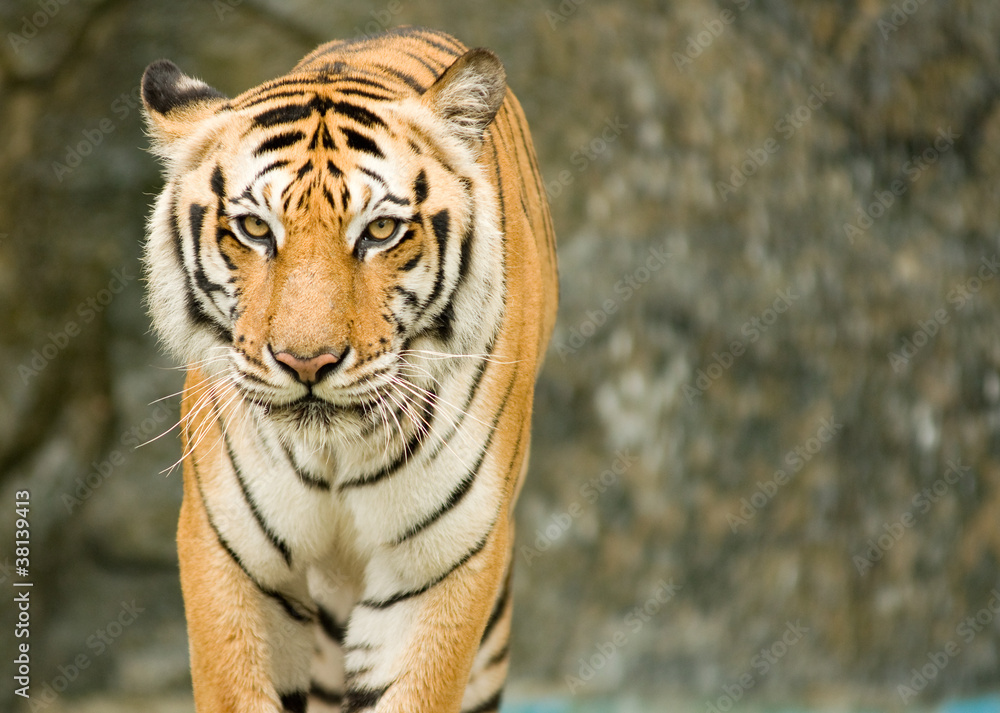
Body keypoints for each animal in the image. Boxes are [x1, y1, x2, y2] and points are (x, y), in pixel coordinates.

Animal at [140, 26, 557, 713]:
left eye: (381, 230)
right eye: (254, 228)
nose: (306, 362)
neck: (334, 454)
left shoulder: (441, 563)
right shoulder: (231, 555)